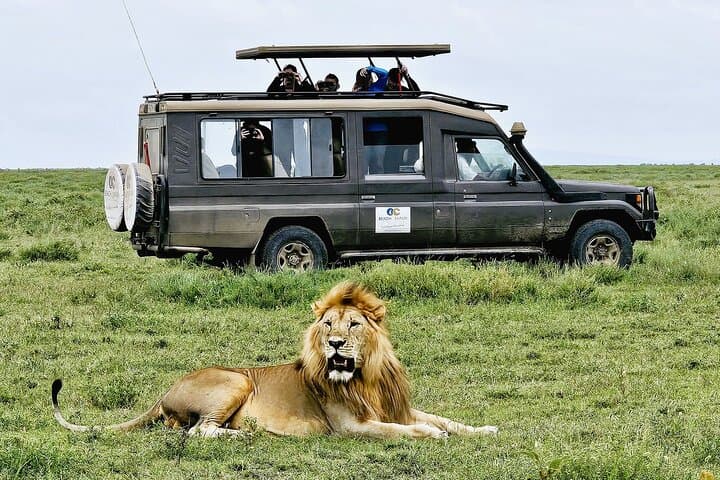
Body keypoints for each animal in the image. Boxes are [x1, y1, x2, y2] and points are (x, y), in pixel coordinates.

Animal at [52, 282, 498, 439]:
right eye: (328, 324)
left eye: (354, 324)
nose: (335, 343)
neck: (365, 377)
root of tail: (165, 391)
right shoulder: (350, 427)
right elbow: (405, 431)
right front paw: (434, 436)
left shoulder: (397, 407)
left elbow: (443, 418)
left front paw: (485, 429)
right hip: (237, 380)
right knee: (198, 431)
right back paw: (240, 435)